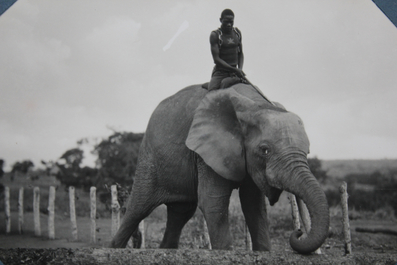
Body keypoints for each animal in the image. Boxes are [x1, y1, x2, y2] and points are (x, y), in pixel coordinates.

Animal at [109, 82, 328, 254]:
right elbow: (213, 203)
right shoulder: (207, 151)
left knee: (180, 213)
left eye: (308, 152)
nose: (299, 232)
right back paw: (113, 248)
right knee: (138, 209)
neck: (254, 105)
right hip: (149, 158)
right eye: (264, 150)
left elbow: (254, 206)